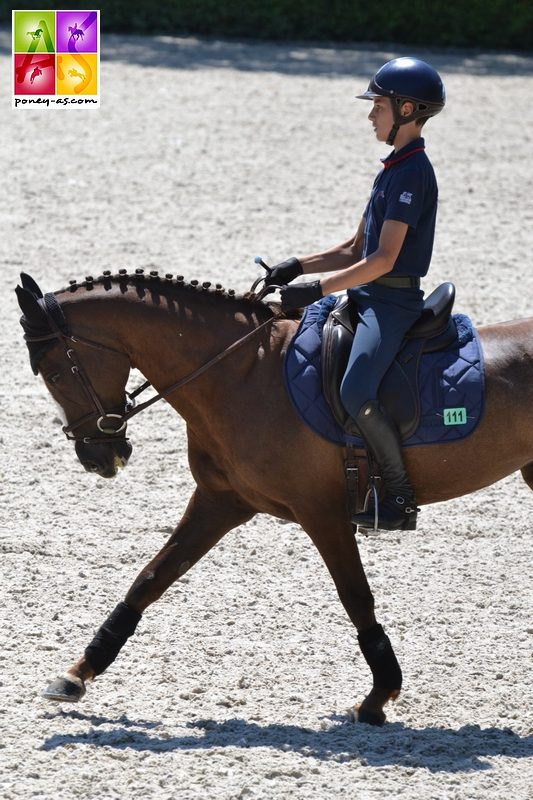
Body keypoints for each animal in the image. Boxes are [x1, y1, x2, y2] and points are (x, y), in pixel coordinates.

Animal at [14, 270, 528, 724]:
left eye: (55, 373)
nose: (97, 457)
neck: (239, 373)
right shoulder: (221, 501)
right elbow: (151, 578)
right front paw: (77, 674)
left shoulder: (322, 514)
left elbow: (356, 597)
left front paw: (378, 696)